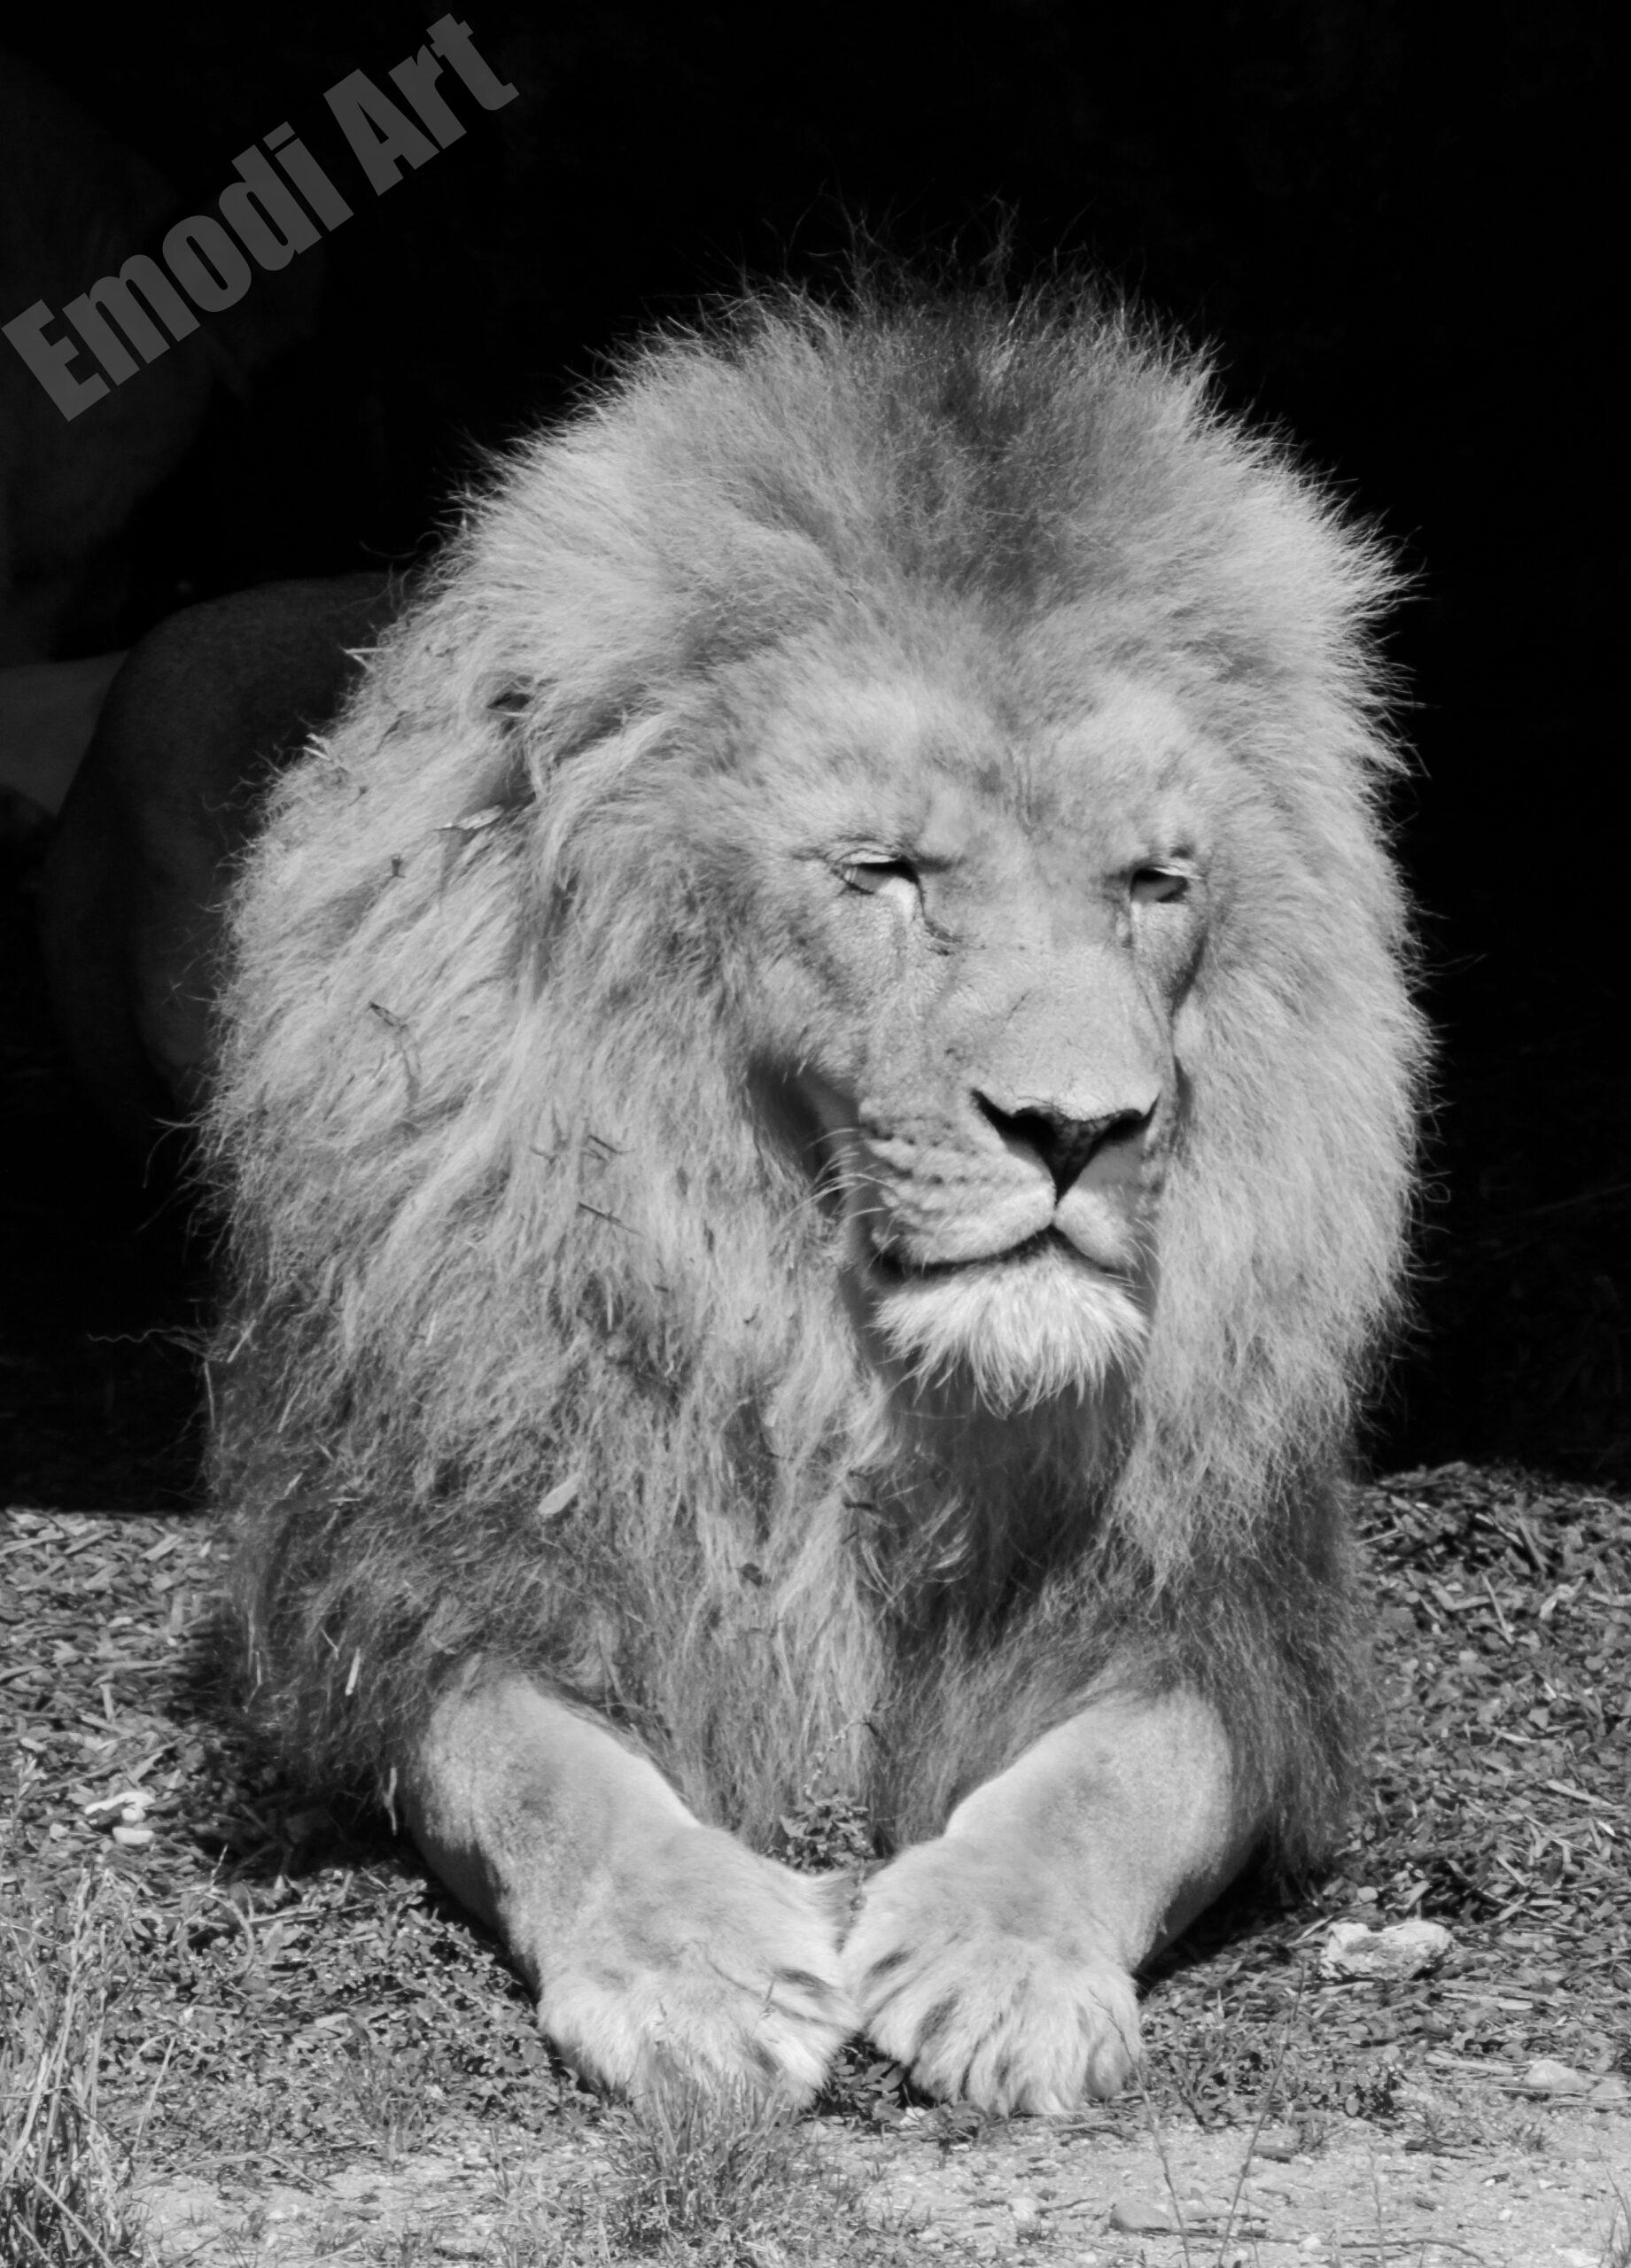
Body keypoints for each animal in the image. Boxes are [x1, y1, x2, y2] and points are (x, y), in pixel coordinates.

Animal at [192, 278, 1423, 2114]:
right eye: (884, 873)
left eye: (1154, 883)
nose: (1082, 1128)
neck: (836, 1354)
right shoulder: (432, 1596)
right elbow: (537, 1768)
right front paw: (695, 1968)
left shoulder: (1224, 1632)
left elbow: (1128, 1778)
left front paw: (1001, 1958)